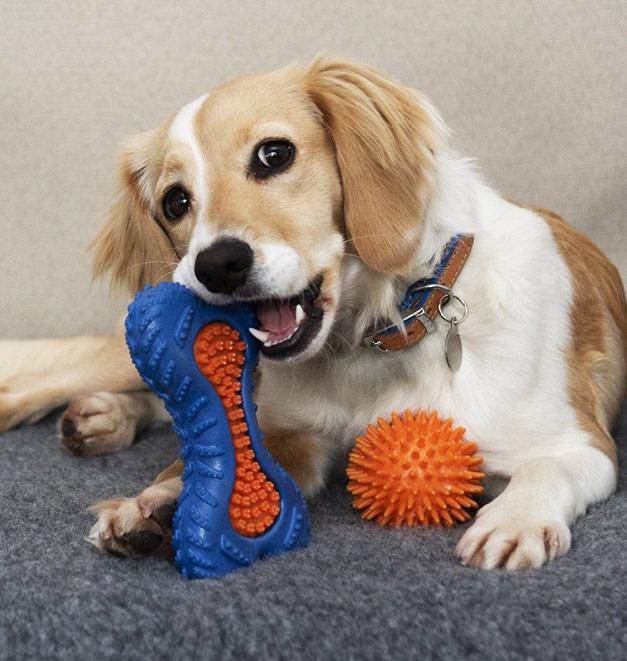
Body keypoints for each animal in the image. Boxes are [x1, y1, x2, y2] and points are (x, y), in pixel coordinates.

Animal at [0, 56, 624, 568]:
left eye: (274, 154)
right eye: (176, 202)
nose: (217, 265)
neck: (374, 343)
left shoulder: (584, 445)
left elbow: (548, 466)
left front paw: (514, 521)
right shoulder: (295, 433)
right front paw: (159, 499)